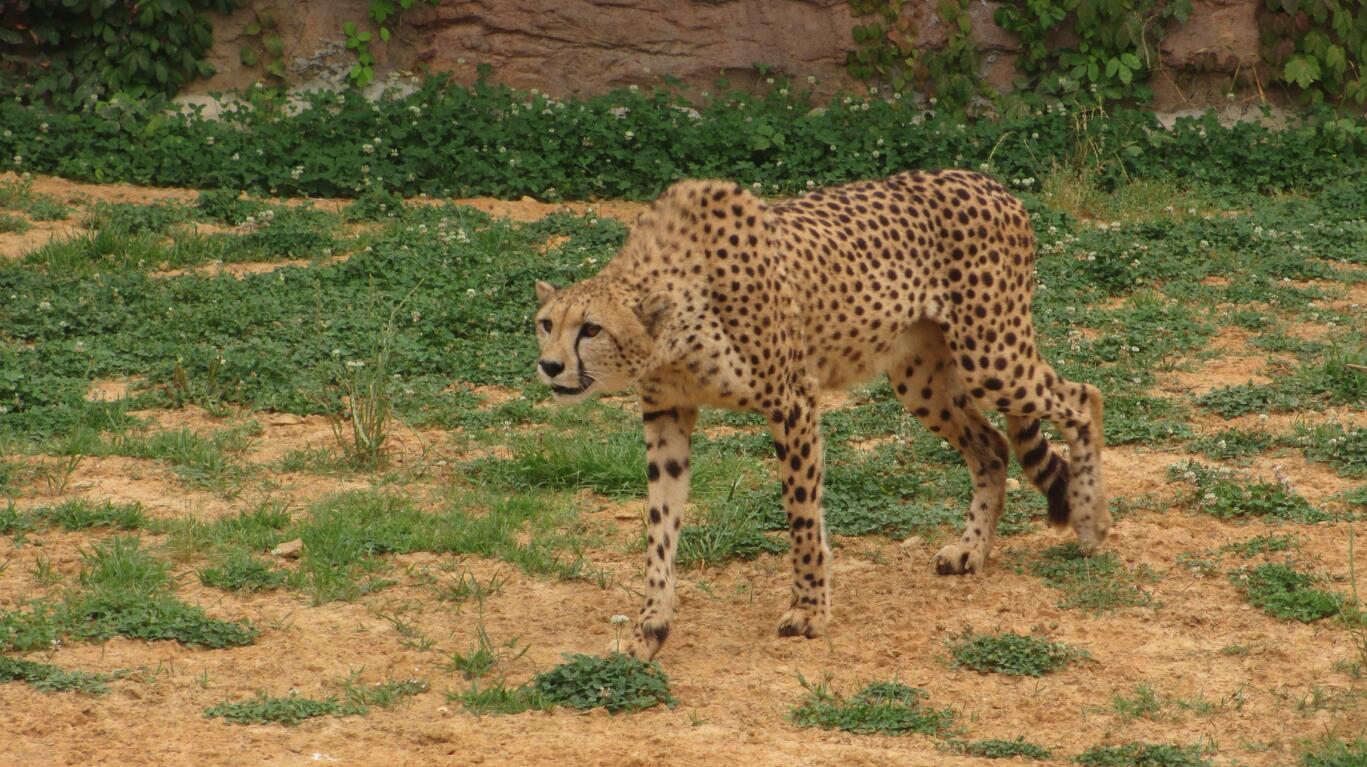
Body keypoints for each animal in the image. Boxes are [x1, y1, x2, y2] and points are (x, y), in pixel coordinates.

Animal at [532, 169, 1109, 661]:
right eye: (544, 324)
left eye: (591, 329)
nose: (550, 365)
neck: (672, 330)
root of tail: (990, 183)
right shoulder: (666, 415)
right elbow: (660, 524)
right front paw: (650, 625)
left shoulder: (792, 400)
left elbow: (802, 513)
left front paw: (808, 610)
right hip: (921, 377)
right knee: (991, 445)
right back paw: (972, 551)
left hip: (991, 356)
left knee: (1084, 398)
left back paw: (1091, 520)